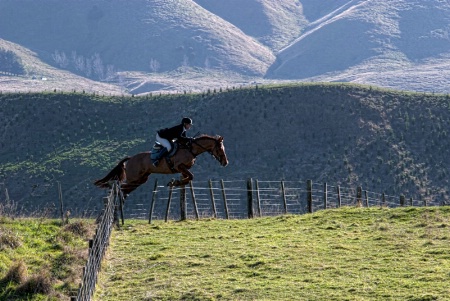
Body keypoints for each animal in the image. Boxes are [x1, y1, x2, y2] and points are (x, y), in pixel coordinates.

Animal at [94, 134, 229, 196]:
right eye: (220, 149)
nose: (225, 162)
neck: (190, 149)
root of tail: (130, 158)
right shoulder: (179, 166)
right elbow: (191, 176)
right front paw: (175, 183)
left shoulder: (183, 169)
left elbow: (188, 178)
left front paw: (175, 183)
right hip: (134, 178)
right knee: (121, 188)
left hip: (140, 179)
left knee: (125, 190)